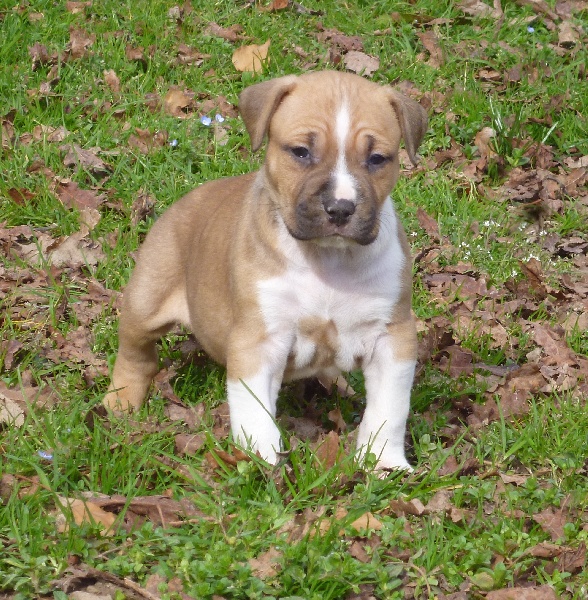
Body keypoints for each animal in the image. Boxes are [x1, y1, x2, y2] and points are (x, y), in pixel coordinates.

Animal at [104, 70, 428, 472]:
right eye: (301, 152)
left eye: (378, 159)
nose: (340, 208)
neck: (327, 259)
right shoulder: (259, 339)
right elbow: (253, 406)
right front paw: (262, 458)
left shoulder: (392, 337)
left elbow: (390, 407)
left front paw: (385, 463)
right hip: (146, 297)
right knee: (136, 352)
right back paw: (121, 401)